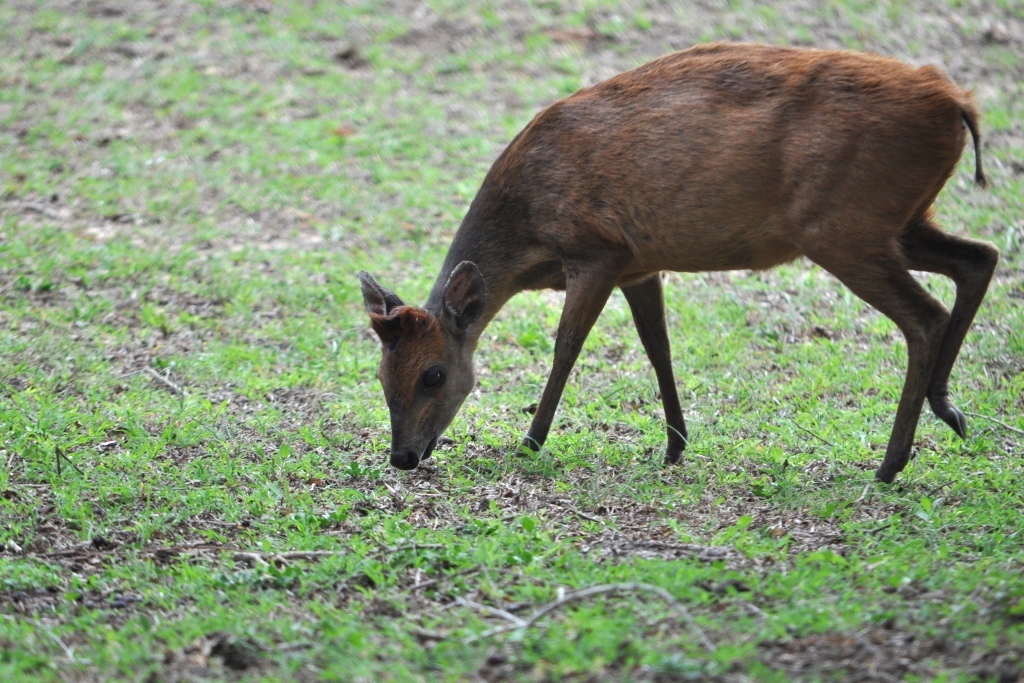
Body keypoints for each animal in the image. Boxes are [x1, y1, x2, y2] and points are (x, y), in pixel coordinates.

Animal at [356, 42, 995, 483]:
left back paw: (891, 464)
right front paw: (675, 444)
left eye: (434, 374)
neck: (529, 229)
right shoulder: (639, 264)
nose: (403, 456)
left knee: (925, 316)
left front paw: (531, 441)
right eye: (381, 376)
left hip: (843, 228)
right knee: (979, 258)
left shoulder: (596, 250)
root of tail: (957, 105)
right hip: (898, 222)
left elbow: (567, 347)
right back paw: (949, 411)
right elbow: (657, 347)